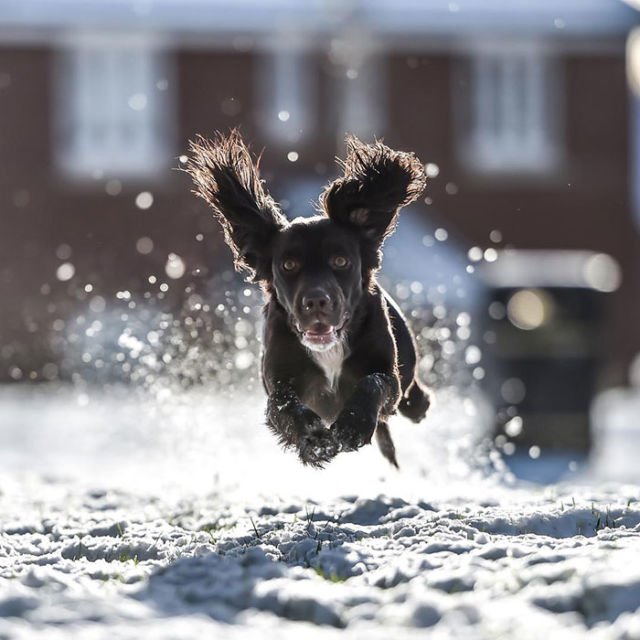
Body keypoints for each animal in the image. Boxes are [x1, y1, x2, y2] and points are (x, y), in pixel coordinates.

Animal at [189, 131, 430, 470]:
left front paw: (353, 426)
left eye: (341, 261)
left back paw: (419, 405)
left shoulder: (386, 374)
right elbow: (283, 404)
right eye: (289, 265)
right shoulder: (280, 380)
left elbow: (374, 382)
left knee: (411, 397)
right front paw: (315, 440)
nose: (316, 301)